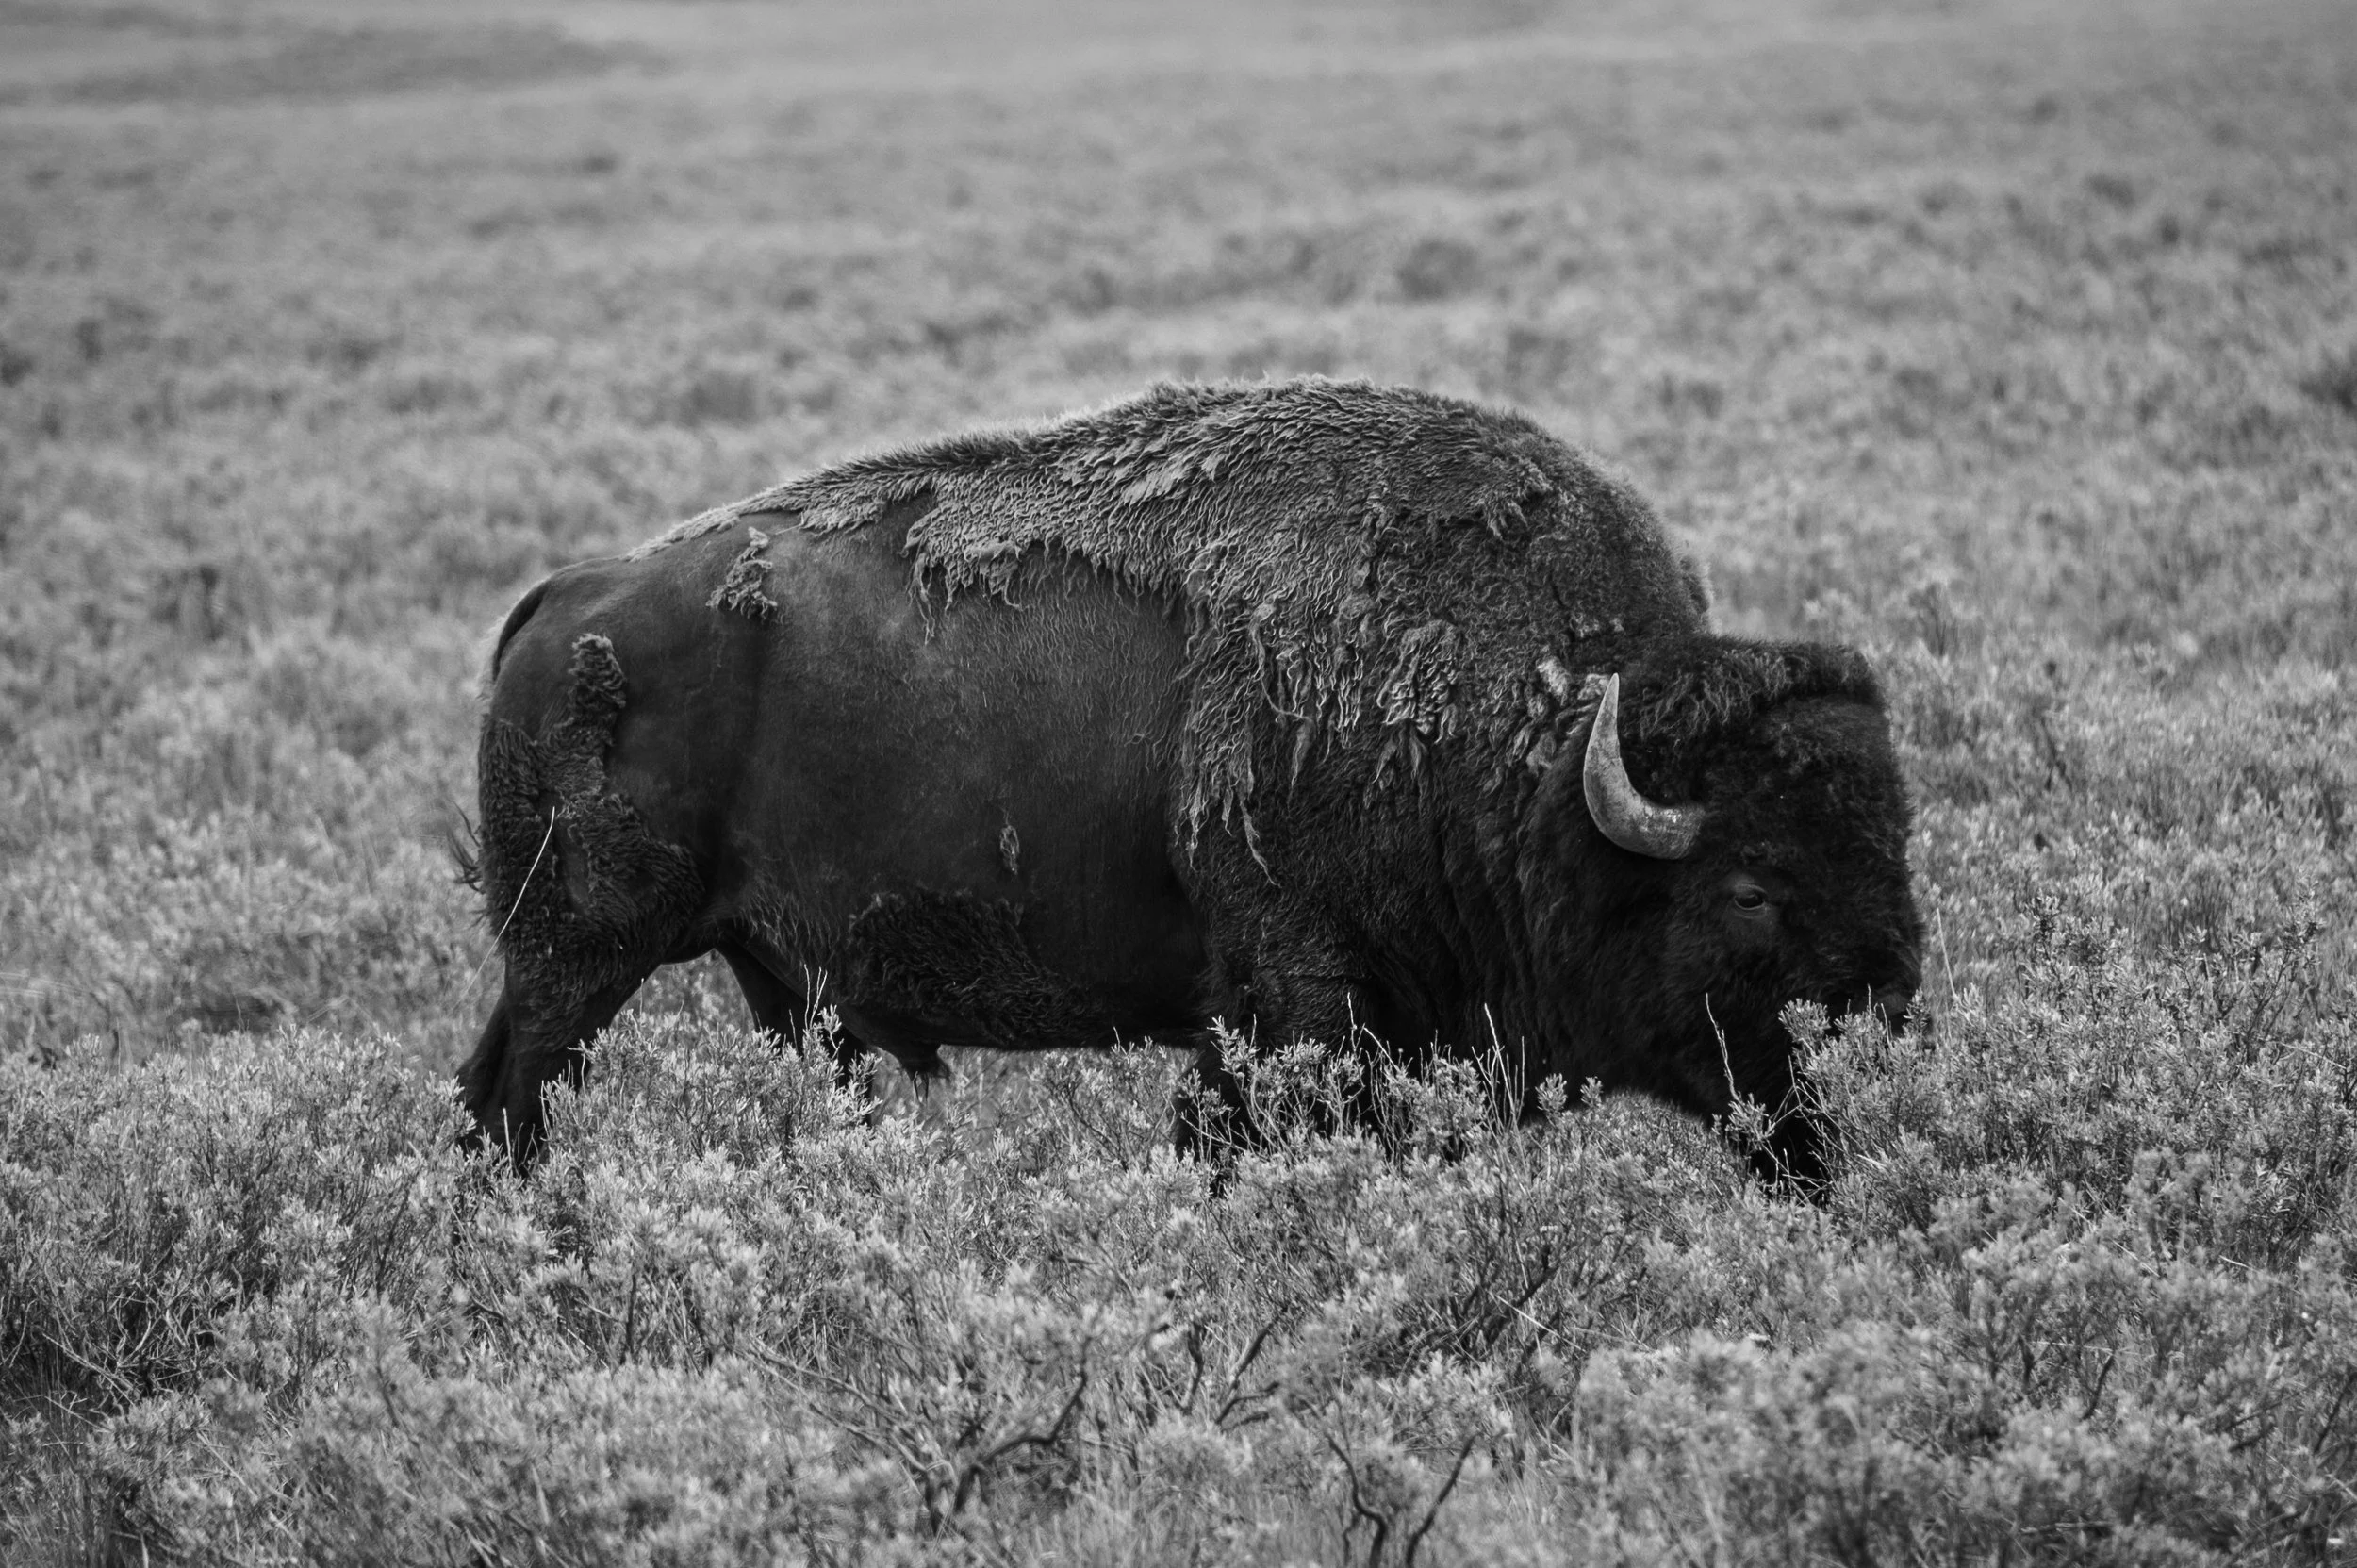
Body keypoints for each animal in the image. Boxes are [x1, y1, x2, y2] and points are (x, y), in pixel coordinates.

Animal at [460, 378, 1921, 1181]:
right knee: (506, 1097)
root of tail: (563, 596)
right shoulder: (1289, 1000)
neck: (1542, 740)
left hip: (774, 988)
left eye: (1897, 845)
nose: (1887, 1019)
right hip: (578, 952)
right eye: (1749, 889)